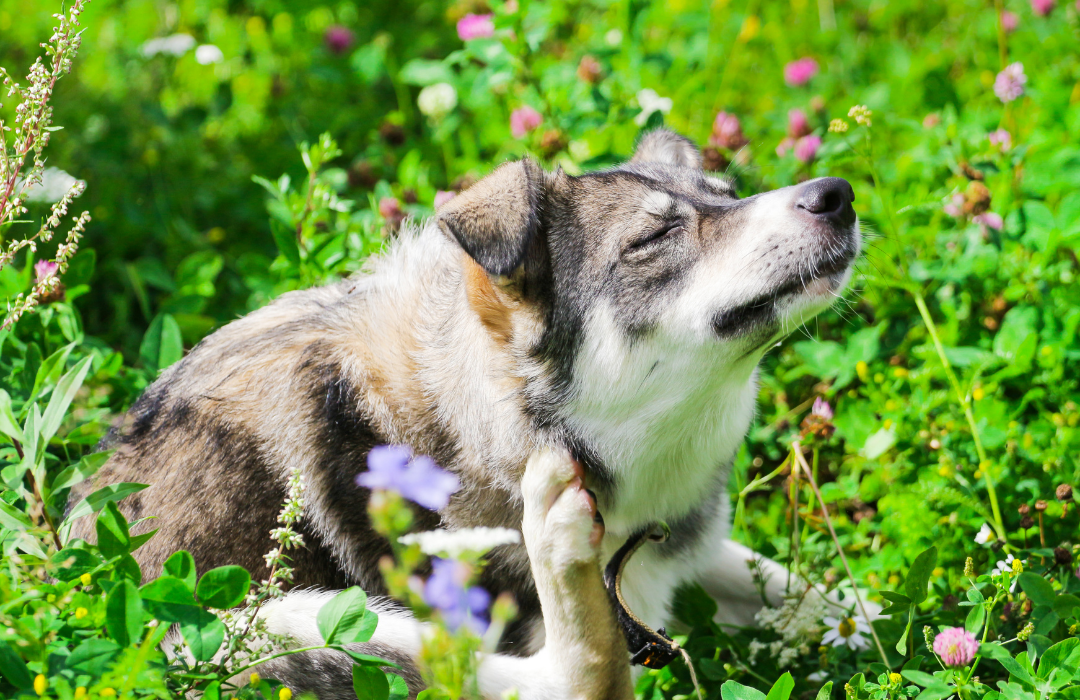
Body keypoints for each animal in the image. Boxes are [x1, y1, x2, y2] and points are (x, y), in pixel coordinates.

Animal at [69, 128, 859, 695]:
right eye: (653, 238)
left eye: (729, 193)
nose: (837, 194)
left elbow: (818, 595)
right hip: (269, 624)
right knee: (570, 681)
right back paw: (557, 536)